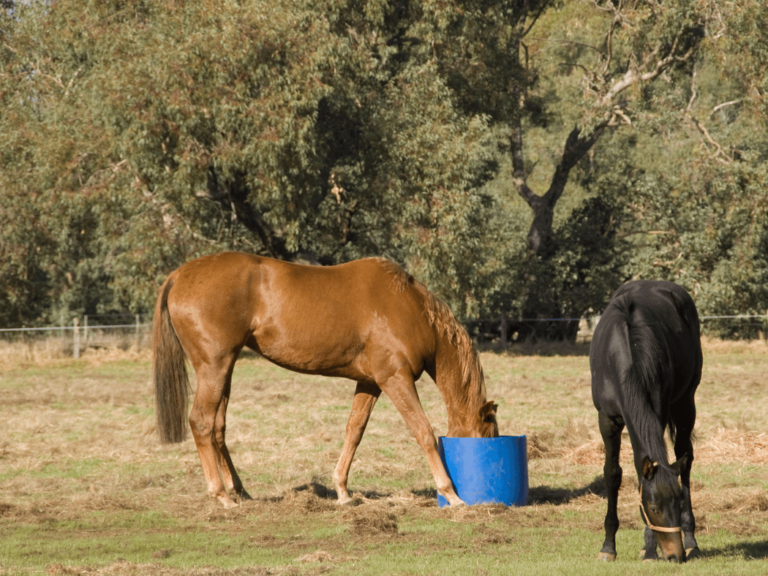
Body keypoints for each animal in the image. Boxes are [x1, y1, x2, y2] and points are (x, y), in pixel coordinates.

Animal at [152, 252, 498, 508]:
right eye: (489, 437)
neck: (411, 309)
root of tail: (179, 275)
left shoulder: (371, 383)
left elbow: (354, 431)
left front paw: (343, 491)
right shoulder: (395, 379)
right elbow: (423, 432)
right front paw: (451, 494)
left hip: (225, 369)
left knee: (217, 427)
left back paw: (239, 491)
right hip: (214, 367)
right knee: (201, 422)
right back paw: (222, 496)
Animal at [590, 280, 702, 563]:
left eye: (677, 502)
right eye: (653, 507)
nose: (675, 556)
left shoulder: (658, 413)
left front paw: (650, 549)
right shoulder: (607, 420)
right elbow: (612, 474)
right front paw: (608, 547)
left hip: (686, 403)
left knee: (684, 457)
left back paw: (691, 540)